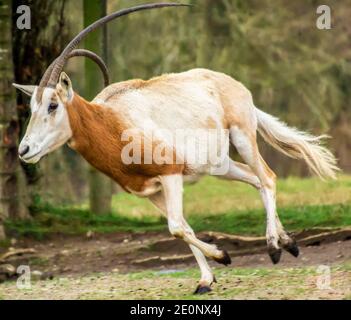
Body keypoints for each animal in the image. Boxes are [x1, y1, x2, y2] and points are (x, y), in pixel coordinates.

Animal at [14, 3, 340, 296]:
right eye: (31, 106)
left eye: (53, 105)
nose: (24, 150)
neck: (113, 120)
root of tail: (235, 85)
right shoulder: (150, 191)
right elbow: (183, 227)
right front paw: (206, 280)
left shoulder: (171, 175)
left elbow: (176, 228)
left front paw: (223, 256)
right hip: (220, 165)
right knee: (255, 180)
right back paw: (289, 243)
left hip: (243, 137)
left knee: (268, 177)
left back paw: (274, 247)